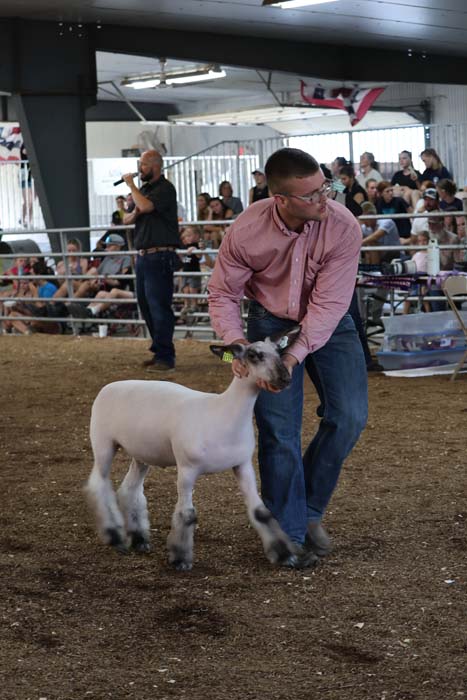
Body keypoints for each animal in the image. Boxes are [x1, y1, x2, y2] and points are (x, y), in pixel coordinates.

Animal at [85, 326, 301, 570]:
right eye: (254, 355)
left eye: (279, 352)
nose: (285, 378)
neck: (223, 413)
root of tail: (109, 386)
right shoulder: (187, 468)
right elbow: (187, 514)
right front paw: (180, 559)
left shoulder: (243, 465)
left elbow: (261, 511)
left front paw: (285, 555)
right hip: (103, 443)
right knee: (99, 484)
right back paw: (114, 536)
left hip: (141, 454)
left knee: (129, 490)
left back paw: (139, 539)